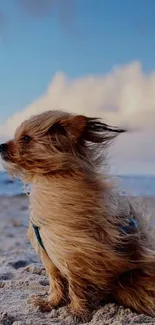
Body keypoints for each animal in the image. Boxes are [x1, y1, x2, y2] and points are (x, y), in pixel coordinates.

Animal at [0, 110, 155, 320]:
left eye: (25, 138)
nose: (0, 145)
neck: (49, 180)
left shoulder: (75, 254)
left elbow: (76, 284)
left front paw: (77, 311)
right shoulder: (51, 256)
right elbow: (56, 281)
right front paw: (51, 303)